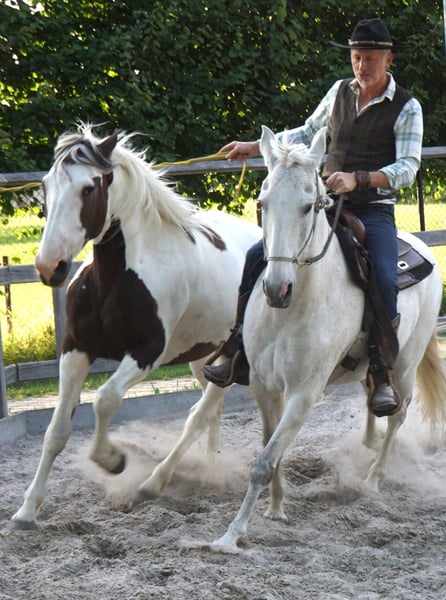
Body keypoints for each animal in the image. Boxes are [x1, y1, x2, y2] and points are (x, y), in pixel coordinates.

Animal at [11, 125, 261, 529]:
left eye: (88, 188)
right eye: (46, 185)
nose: (50, 267)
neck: (115, 279)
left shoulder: (146, 353)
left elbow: (104, 400)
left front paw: (113, 461)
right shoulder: (75, 350)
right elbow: (57, 430)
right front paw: (26, 511)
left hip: (235, 357)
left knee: (200, 414)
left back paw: (152, 484)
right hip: (205, 357)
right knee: (212, 410)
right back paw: (209, 466)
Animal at [208, 125, 446, 552]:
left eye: (309, 207)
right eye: (262, 202)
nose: (276, 289)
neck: (290, 311)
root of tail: (421, 247)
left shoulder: (303, 394)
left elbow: (263, 461)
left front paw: (232, 534)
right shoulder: (265, 387)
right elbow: (271, 450)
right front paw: (276, 508)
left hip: (407, 363)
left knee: (399, 414)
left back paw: (373, 480)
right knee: (375, 396)